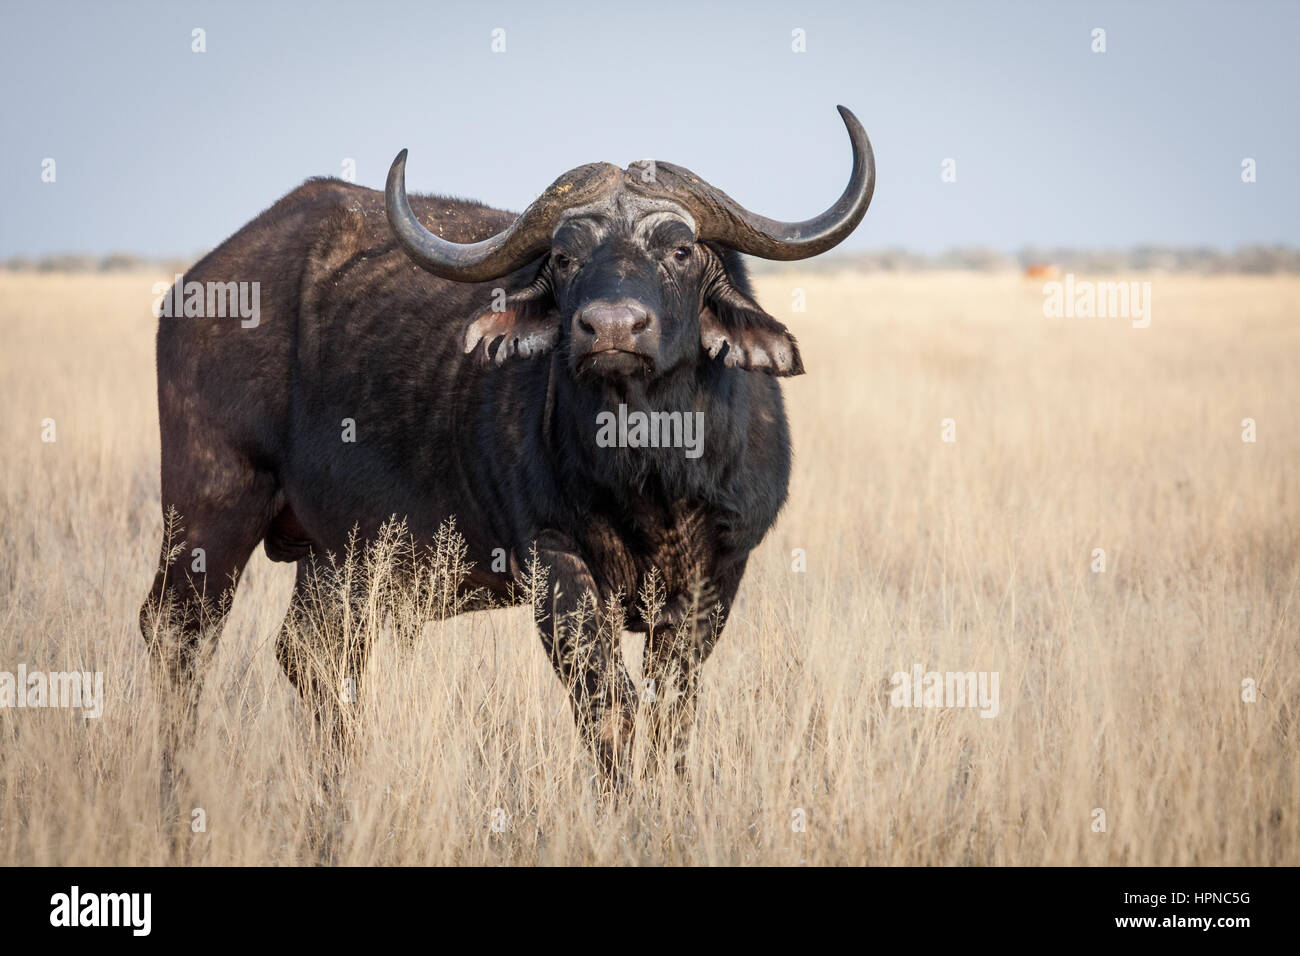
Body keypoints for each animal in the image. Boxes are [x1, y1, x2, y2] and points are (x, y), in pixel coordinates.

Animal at [140, 106, 875, 789]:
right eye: (566, 257)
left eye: (680, 250)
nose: (612, 328)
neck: (648, 471)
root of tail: (198, 287)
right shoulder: (557, 564)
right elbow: (610, 709)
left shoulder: (718, 574)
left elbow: (673, 713)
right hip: (210, 511)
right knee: (178, 636)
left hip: (338, 555)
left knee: (314, 657)